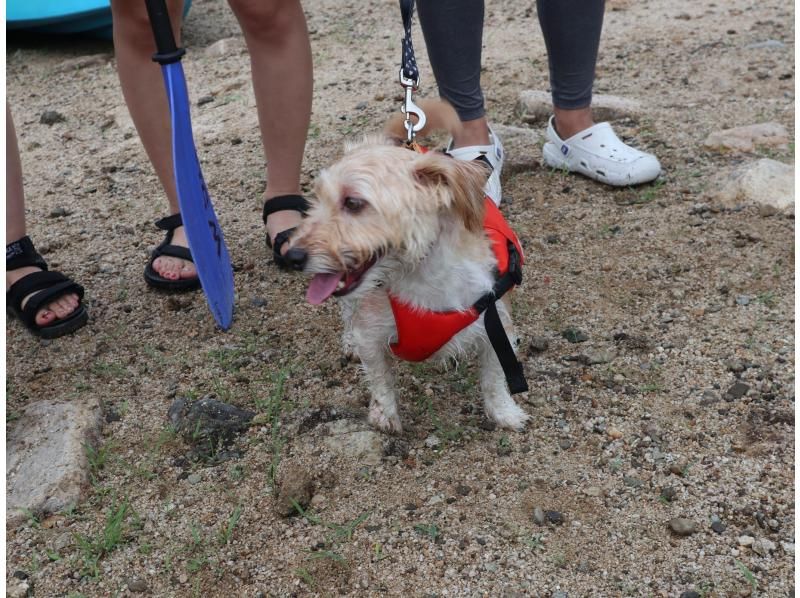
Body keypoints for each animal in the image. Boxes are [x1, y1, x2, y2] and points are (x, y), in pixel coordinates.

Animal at [284, 101, 528, 434]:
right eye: (316, 201)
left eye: (353, 203)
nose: (291, 256)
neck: (422, 275)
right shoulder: (370, 335)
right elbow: (380, 379)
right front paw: (385, 415)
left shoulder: (497, 323)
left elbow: (495, 378)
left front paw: (504, 412)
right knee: (347, 311)